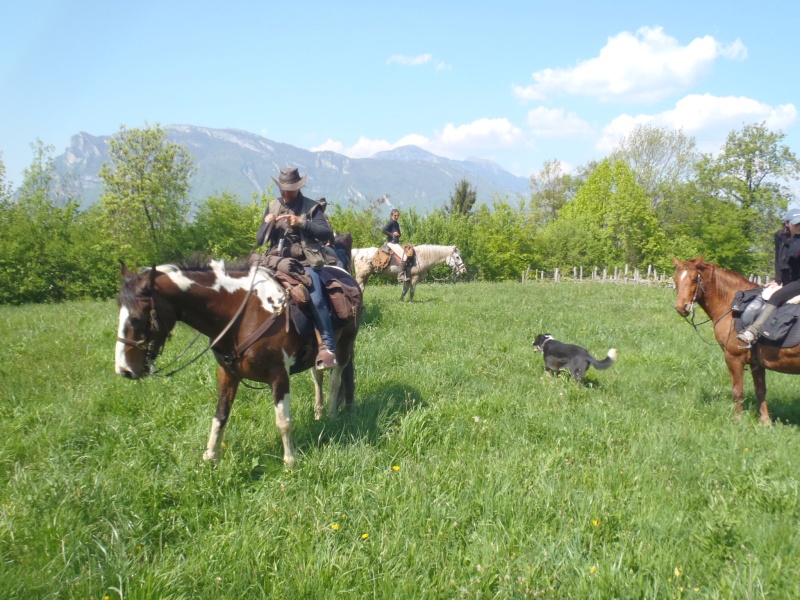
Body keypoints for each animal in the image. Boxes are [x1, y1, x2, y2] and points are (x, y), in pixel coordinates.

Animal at [114, 258, 360, 464]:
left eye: (136, 318)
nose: (123, 370)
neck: (242, 315)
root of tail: (345, 275)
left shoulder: (279, 375)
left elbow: (283, 421)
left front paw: (290, 461)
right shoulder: (227, 374)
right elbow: (220, 416)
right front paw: (211, 457)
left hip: (344, 347)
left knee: (335, 379)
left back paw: (332, 415)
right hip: (315, 359)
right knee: (318, 377)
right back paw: (319, 413)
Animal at [672, 256, 800, 422]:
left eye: (694, 279)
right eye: (675, 279)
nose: (681, 307)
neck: (732, 305)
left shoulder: (733, 357)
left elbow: (737, 390)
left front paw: (738, 420)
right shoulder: (756, 363)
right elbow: (760, 390)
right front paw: (765, 421)